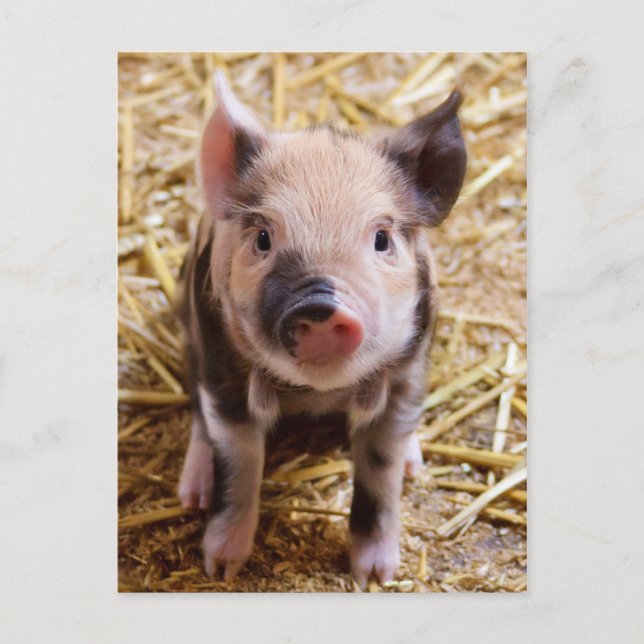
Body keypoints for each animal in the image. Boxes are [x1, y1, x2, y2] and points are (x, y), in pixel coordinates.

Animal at [176, 71, 466, 588]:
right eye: (263, 238)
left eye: (382, 239)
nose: (319, 305)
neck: (316, 394)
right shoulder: (221, 367)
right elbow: (239, 462)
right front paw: (221, 568)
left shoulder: (408, 371)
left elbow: (381, 469)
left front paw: (376, 577)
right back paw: (192, 495)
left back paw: (416, 466)